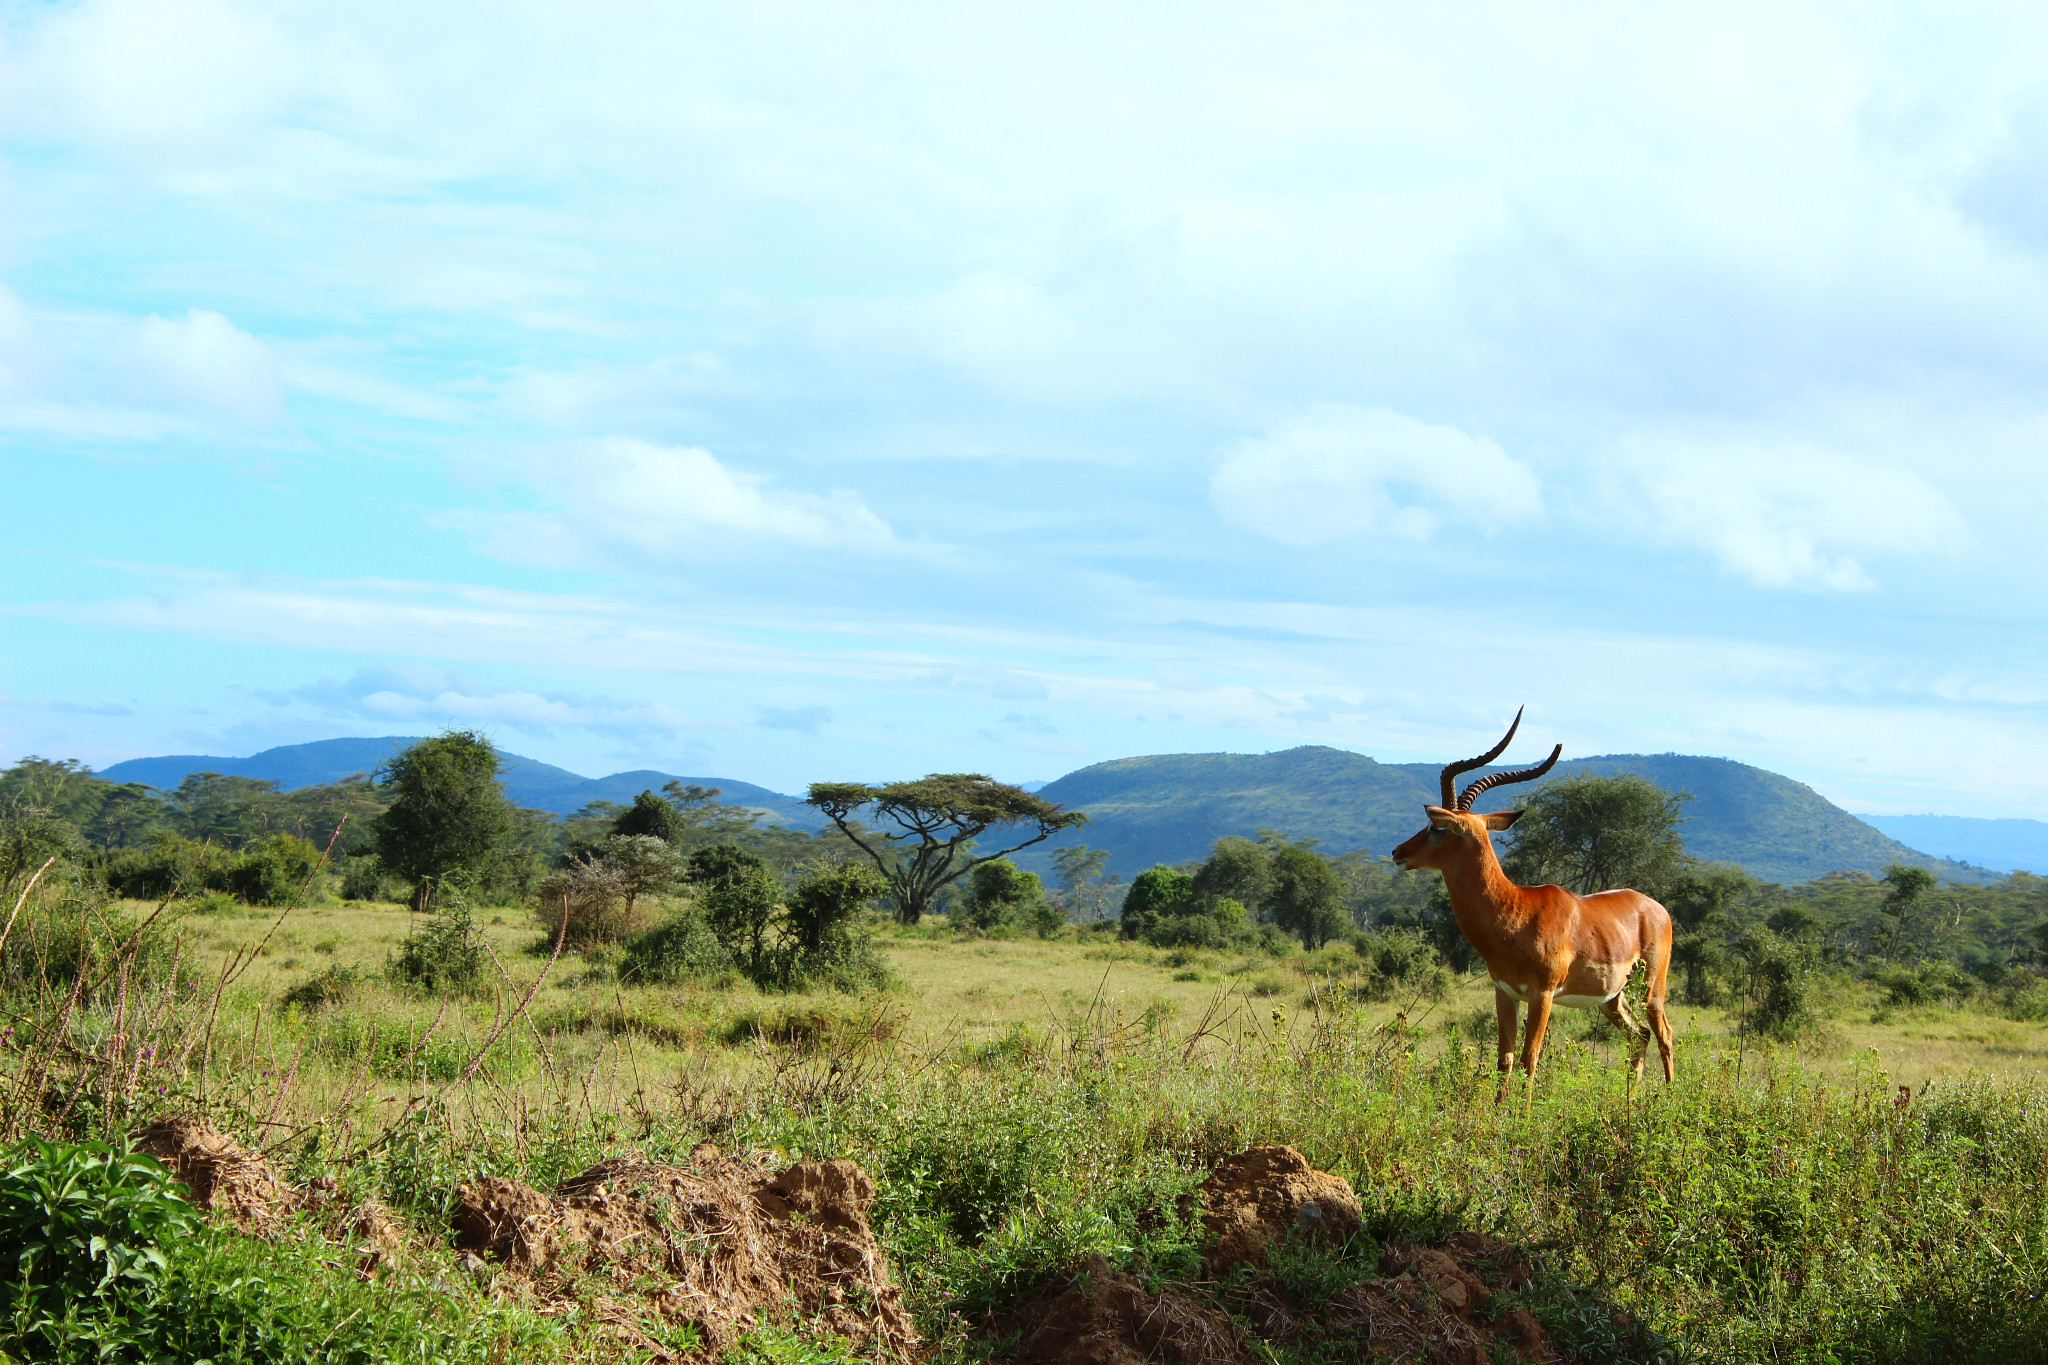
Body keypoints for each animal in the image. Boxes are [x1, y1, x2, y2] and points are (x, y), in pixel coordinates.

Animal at [1384, 712, 1671, 1105]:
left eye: (1437, 827)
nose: (1398, 851)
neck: (1515, 912)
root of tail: (1655, 907)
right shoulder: (1504, 991)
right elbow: (1503, 1060)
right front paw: (1499, 1114)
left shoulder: (1543, 995)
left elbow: (1528, 1059)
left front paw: (1523, 1116)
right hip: (1612, 997)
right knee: (1638, 1035)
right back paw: (1630, 1101)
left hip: (1652, 988)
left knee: (1664, 1035)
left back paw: (1672, 1099)